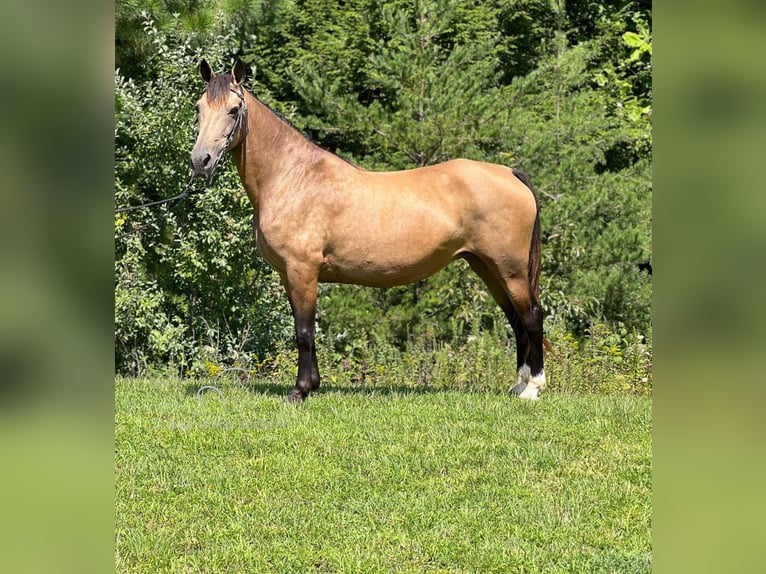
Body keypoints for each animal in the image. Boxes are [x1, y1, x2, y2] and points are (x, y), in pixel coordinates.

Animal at [190, 60, 544, 404]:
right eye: (198, 108)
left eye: (234, 109)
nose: (200, 161)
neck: (293, 177)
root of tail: (510, 173)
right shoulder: (288, 274)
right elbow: (305, 330)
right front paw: (313, 385)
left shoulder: (302, 270)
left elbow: (304, 332)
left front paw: (300, 391)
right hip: (486, 267)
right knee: (515, 319)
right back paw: (518, 385)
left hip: (509, 269)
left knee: (532, 317)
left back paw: (532, 388)